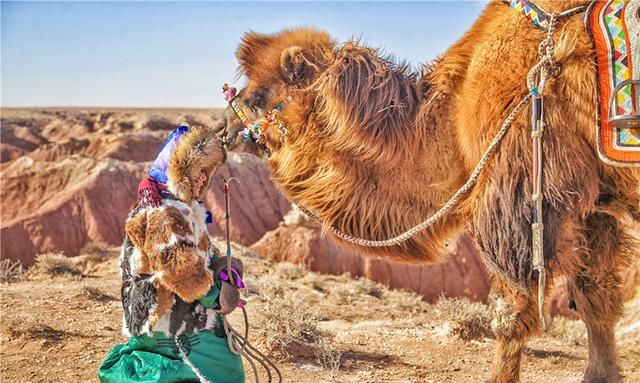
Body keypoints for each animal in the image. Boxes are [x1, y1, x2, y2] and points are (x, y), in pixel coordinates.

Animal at [216, 1, 640, 382]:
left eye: (256, 99)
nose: (222, 130)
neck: (452, 114)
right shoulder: (594, 206)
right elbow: (595, 298)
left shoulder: (520, 194)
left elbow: (510, 311)